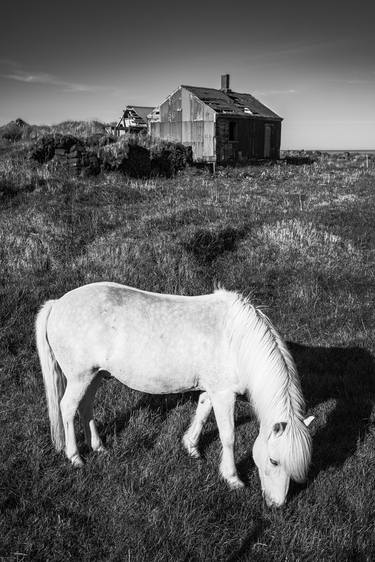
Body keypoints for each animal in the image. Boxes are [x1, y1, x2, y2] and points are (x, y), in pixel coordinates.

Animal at [36, 282, 314, 506]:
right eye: (274, 461)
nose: (277, 504)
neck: (237, 341)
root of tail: (57, 304)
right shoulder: (224, 393)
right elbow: (228, 436)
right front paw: (232, 478)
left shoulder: (213, 389)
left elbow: (202, 410)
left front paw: (191, 446)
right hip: (80, 378)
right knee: (67, 408)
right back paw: (75, 457)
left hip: (94, 376)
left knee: (85, 407)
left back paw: (99, 447)